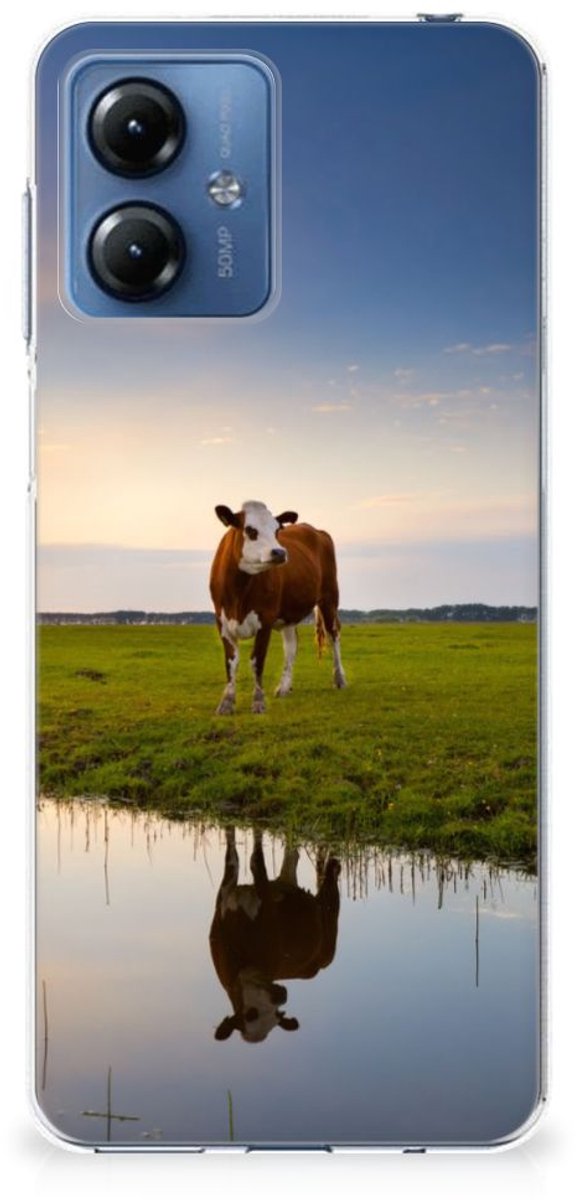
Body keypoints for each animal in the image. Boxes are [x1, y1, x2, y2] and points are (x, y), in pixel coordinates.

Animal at [209, 500, 346, 715]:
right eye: (250, 530)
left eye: (276, 530)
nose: (280, 552)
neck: (238, 592)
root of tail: (316, 530)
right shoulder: (222, 622)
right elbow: (231, 662)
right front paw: (226, 702)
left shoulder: (265, 619)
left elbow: (257, 660)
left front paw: (258, 701)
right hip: (289, 614)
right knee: (291, 645)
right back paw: (284, 687)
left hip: (329, 598)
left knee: (334, 635)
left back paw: (339, 678)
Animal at [209, 827, 341, 1043]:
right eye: (250, 1014)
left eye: (277, 1016)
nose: (281, 996)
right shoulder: (225, 895)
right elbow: (232, 855)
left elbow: (256, 861)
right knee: (292, 855)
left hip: (329, 934)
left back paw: (334, 865)